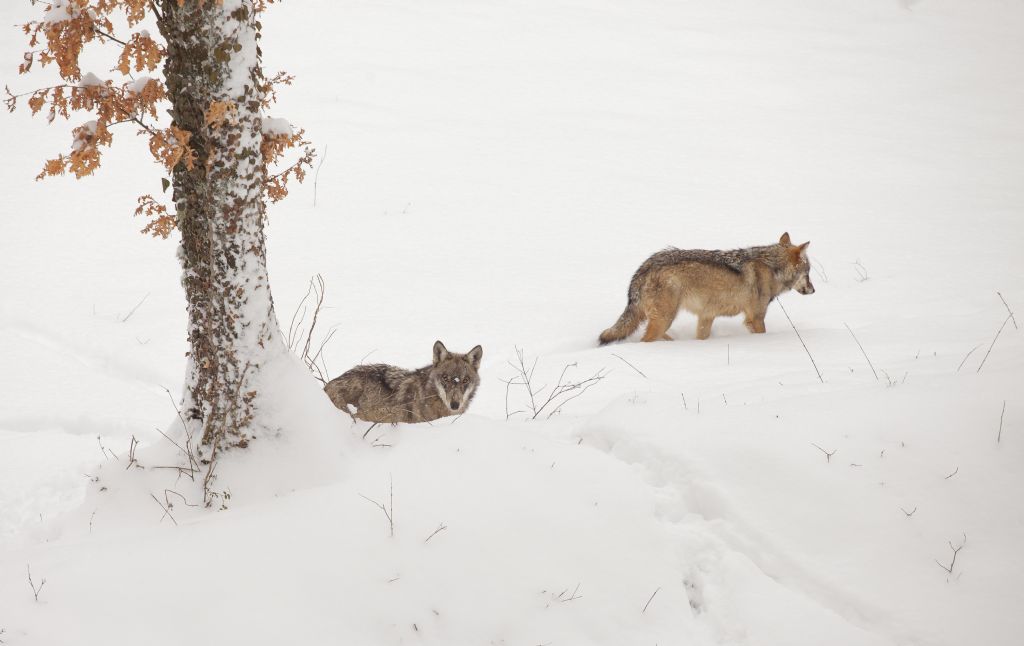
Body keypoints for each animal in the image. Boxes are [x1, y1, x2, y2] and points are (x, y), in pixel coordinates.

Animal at [598, 232, 811, 343]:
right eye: (808, 272)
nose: (813, 290)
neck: (772, 267)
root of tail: (645, 267)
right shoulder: (755, 318)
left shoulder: (706, 316)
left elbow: (702, 336)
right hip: (665, 318)